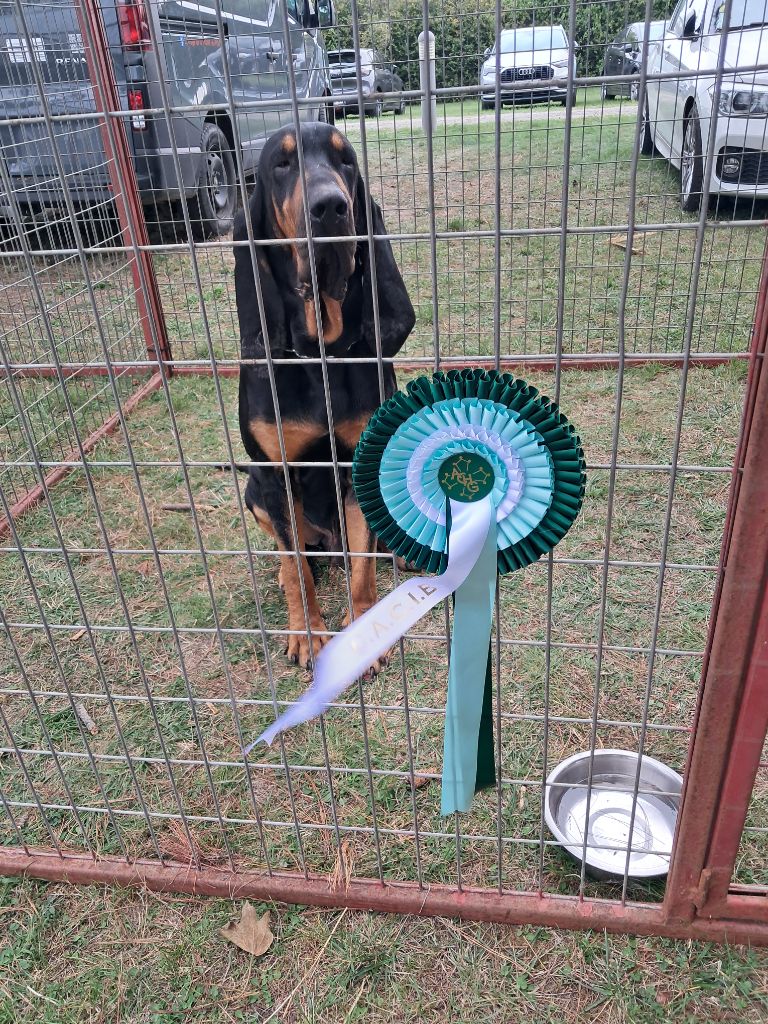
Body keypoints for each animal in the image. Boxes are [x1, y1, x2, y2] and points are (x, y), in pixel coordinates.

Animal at [234, 121, 415, 671]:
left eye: (346, 160)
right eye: (281, 164)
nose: (331, 207)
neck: (319, 356)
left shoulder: (362, 464)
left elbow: (363, 571)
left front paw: (364, 635)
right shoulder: (274, 476)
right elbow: (297, 572)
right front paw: (308, 632)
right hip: (252, 491)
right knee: (293, 555)